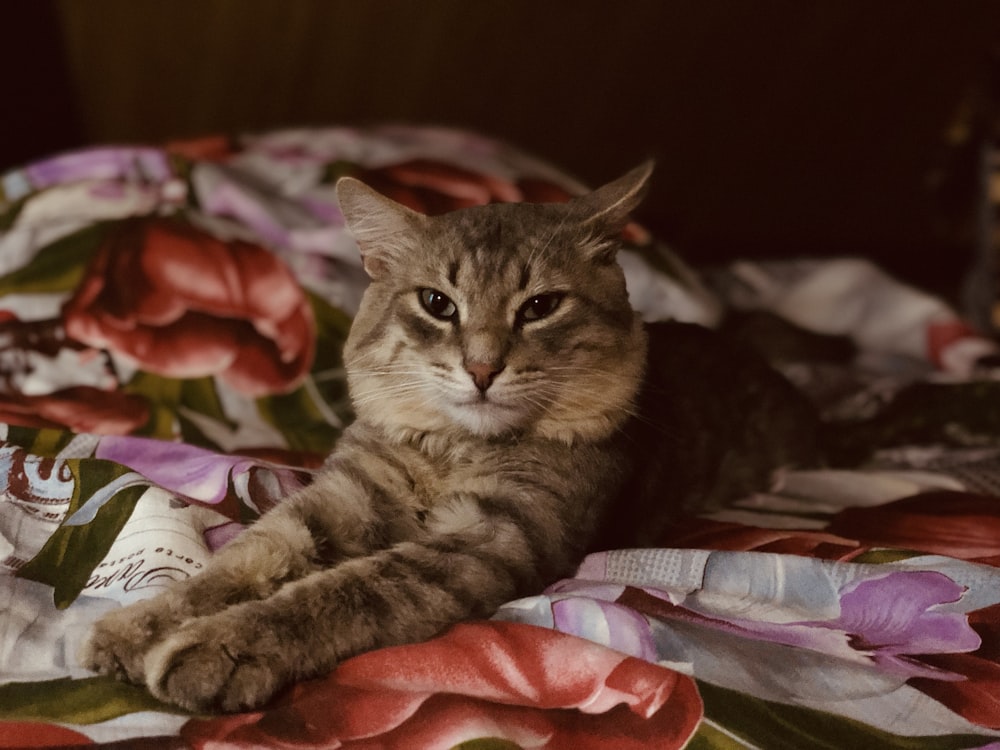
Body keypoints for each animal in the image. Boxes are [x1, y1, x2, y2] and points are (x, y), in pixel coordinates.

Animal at [82, 162, 820, 712]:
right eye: (437, 304)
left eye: (540, 307)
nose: (483, 369)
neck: (452, 450)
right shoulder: (341, 498)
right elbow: (239, 563)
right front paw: (139, 627)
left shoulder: (492, 534)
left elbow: (339, 592)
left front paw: (217, 648)